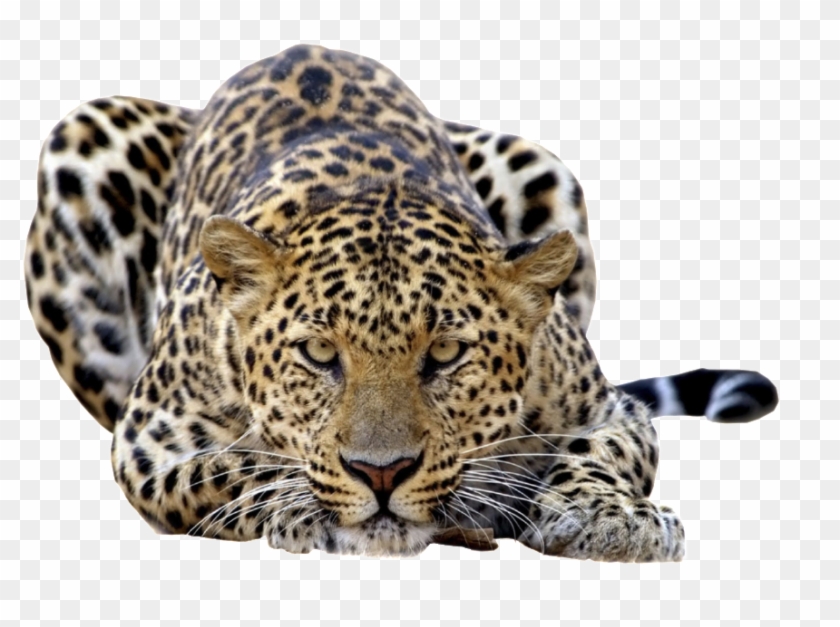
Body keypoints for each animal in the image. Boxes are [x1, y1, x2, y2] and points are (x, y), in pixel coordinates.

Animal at [24, 45, 779, 560]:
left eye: (445, 354)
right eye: (318, 353)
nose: (381, 473)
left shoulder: (608, 408)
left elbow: (602, 451)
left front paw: (609, 517)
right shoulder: (149, 439)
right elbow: (234, 466)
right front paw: (304, 504)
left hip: (538, 163)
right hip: (83, 139)